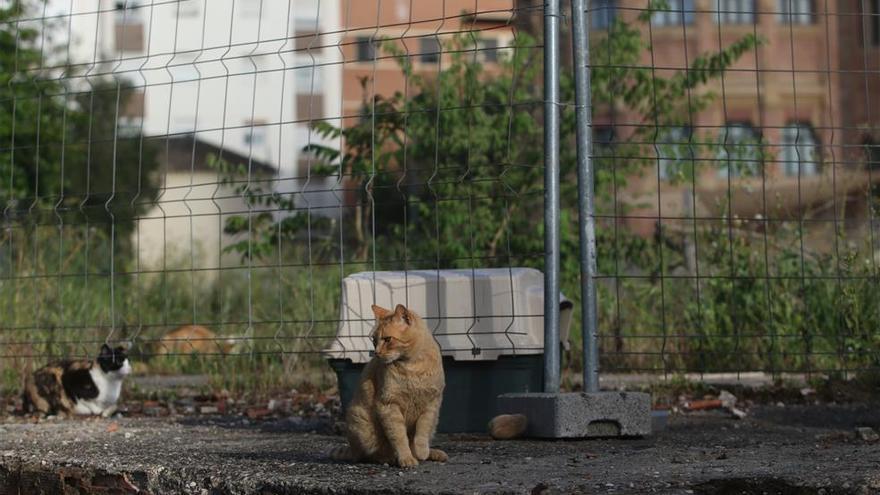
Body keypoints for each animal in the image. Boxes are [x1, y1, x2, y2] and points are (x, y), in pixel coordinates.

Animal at [334, 302, 450, 468]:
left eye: (388, 339)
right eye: (374, 341)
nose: (376, 353)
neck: (413, 367)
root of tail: (352, 449)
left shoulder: (431, 405)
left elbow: (422, 432)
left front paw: (422, 451)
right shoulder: (389, 405)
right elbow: (400, 437)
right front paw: (406, 458)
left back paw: (432, 453)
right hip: (361, 423)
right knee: (370, 455)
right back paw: (389, 458)